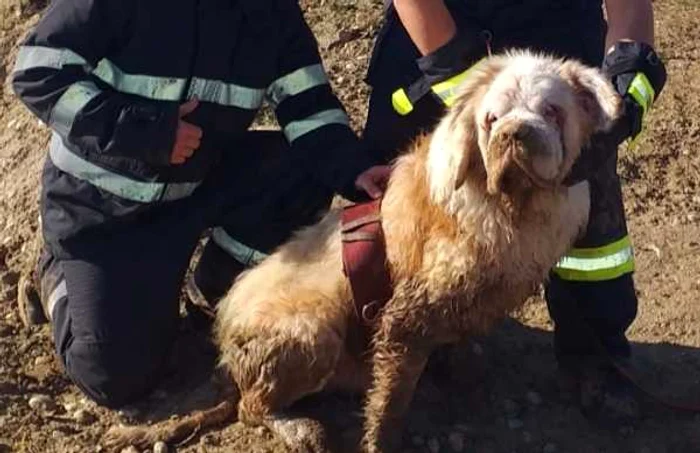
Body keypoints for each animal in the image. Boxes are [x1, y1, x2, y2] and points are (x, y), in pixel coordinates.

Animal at [102, 50, 616, 452]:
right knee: (251, 407)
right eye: (491, 119)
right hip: (312, 330)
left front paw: (468, 381)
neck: (513, 210)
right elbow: (391, 401)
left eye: (552, 111)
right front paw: (383, 438)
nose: (514, 133)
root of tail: (224, 340)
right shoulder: (406, 318)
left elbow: (464, 350)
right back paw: (303, 431)